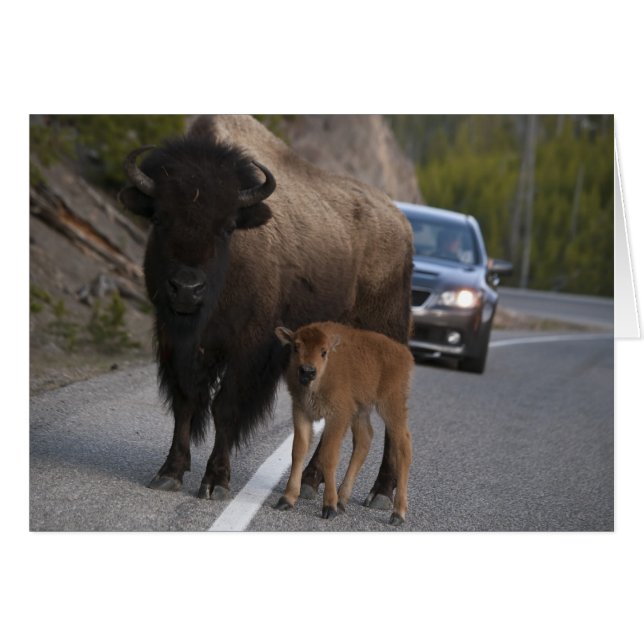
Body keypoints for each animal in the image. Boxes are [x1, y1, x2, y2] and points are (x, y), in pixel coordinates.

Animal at [119, 115, 413, 508]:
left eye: (228, 226)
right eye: (159, 218)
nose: (187, 288)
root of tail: (403, 224)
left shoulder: (249, 349)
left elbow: (225, 408)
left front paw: (215, 482)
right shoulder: (176, 344)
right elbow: (186, 402)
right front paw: (169, 473)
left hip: (386, 349)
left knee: (394, 425)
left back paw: (379, 494)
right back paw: (310, 482)